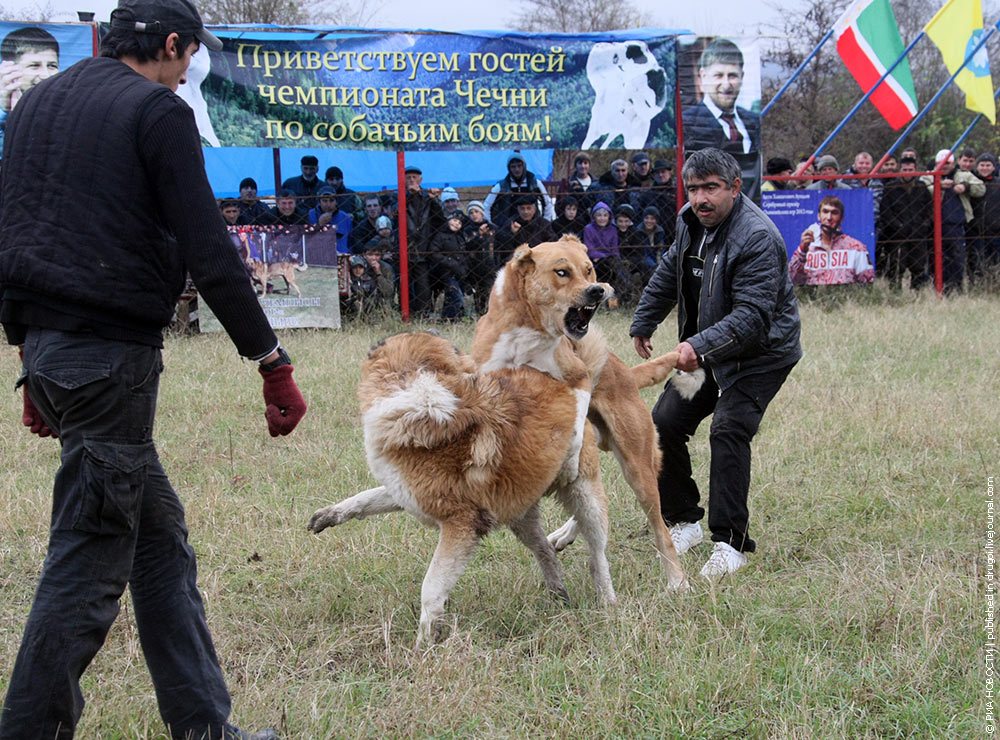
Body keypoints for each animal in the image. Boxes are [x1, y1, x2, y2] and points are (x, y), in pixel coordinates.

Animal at [308, 330, 616, 648]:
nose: (433, 330)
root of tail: (568, 384)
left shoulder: (462, 523)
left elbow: (431, 586)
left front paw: (426, 640)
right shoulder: (406, 492)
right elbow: (365, 499)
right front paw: (328, 515)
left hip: (583, 494)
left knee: (597, 553)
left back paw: (606, 600)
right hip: (520, 514)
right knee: (545, 551)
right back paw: (558, 591)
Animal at [468, 237, 704, 588]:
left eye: (589, 269)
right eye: (561, 272)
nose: (597, 290)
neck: (529, 328)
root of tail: (627, 374)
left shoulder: (577, 377)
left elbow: (574, 423)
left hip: (638, 467)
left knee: (658, 527)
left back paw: (677, 582)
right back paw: (565, 533)